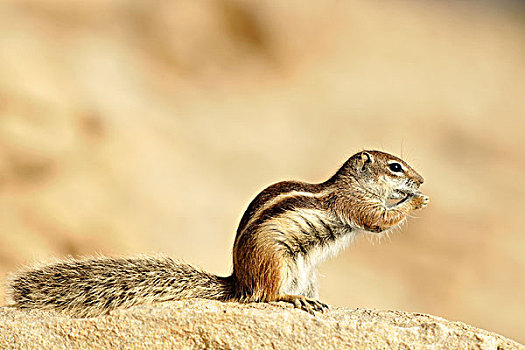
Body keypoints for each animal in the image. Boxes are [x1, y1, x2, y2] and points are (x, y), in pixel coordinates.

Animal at [7, 150, 426, 318]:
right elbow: (379, 219)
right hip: (276, 263)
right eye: (395, 167)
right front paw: (415, 201)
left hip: (305, 271)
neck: (350, 183)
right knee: (265, 297)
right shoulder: (356, 205)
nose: (421, 180)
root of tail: (238, 281)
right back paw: (292, 299)